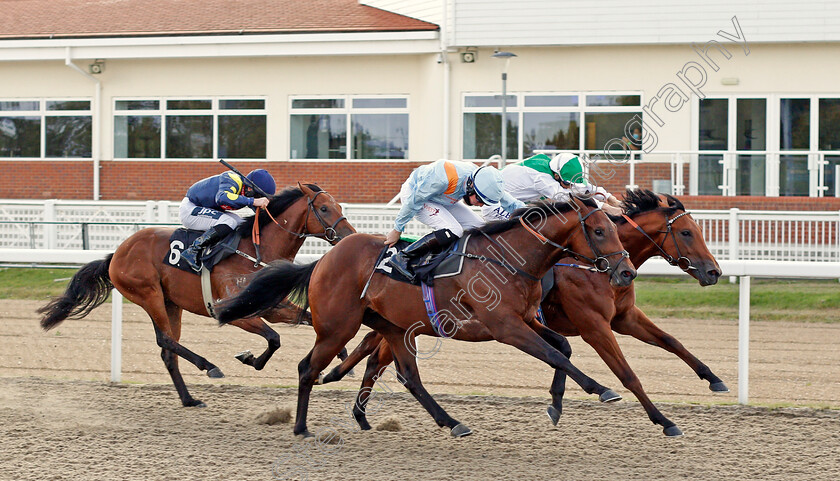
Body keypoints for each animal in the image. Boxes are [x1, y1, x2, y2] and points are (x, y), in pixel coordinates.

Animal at [37, 183, 354, 404]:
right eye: (324, 209)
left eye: (338, 205)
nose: (349, 236)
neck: (255, 251)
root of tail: (116, 253)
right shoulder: (231, 311)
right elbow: (274, 339)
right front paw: (249, 359)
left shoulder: (273, 307)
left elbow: (307, 321)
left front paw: (340, 359)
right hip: (148, 294)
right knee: (165, 340)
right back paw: (210, 367)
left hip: (171, 303)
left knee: (168, 351)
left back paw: (189, 399)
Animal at [215, 197, 636, 436]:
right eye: (599, 231)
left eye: (615, 229)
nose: (626, 272)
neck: (508, 257)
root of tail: (322, 260)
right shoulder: (506, 327)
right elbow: (554, 354)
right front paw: (601, 388)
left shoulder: (527, 320)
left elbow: (561, 347)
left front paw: (558, 401)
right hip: (338, 327)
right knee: (308, 368)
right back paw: (301, 427)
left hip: (394, 328)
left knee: (408, 377)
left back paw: (452, 423)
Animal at [322, 189, 720, 436]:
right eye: (687, 233)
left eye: (697, 230)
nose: (714, 272)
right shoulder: (591, 326)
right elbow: (624, 374)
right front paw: (661, 419)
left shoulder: (622, 318)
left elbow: (670, 341)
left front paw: (713, 378)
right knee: (379, 358)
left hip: (406, 325)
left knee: (379, 358)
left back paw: (360, 412)